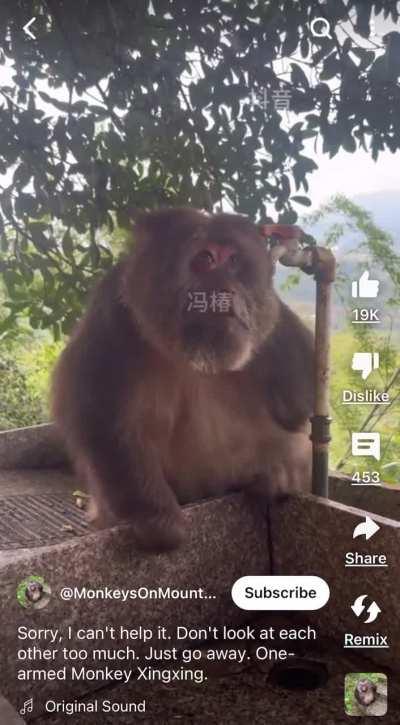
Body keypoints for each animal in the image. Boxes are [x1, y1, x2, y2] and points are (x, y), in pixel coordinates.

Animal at [51, 207, 314, 552]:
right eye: (205, 258)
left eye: (233, 260)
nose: (226, 288)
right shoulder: (113, 313)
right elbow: (101, 416)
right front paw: (156, 518)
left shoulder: (264, 324)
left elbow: (298, 407)